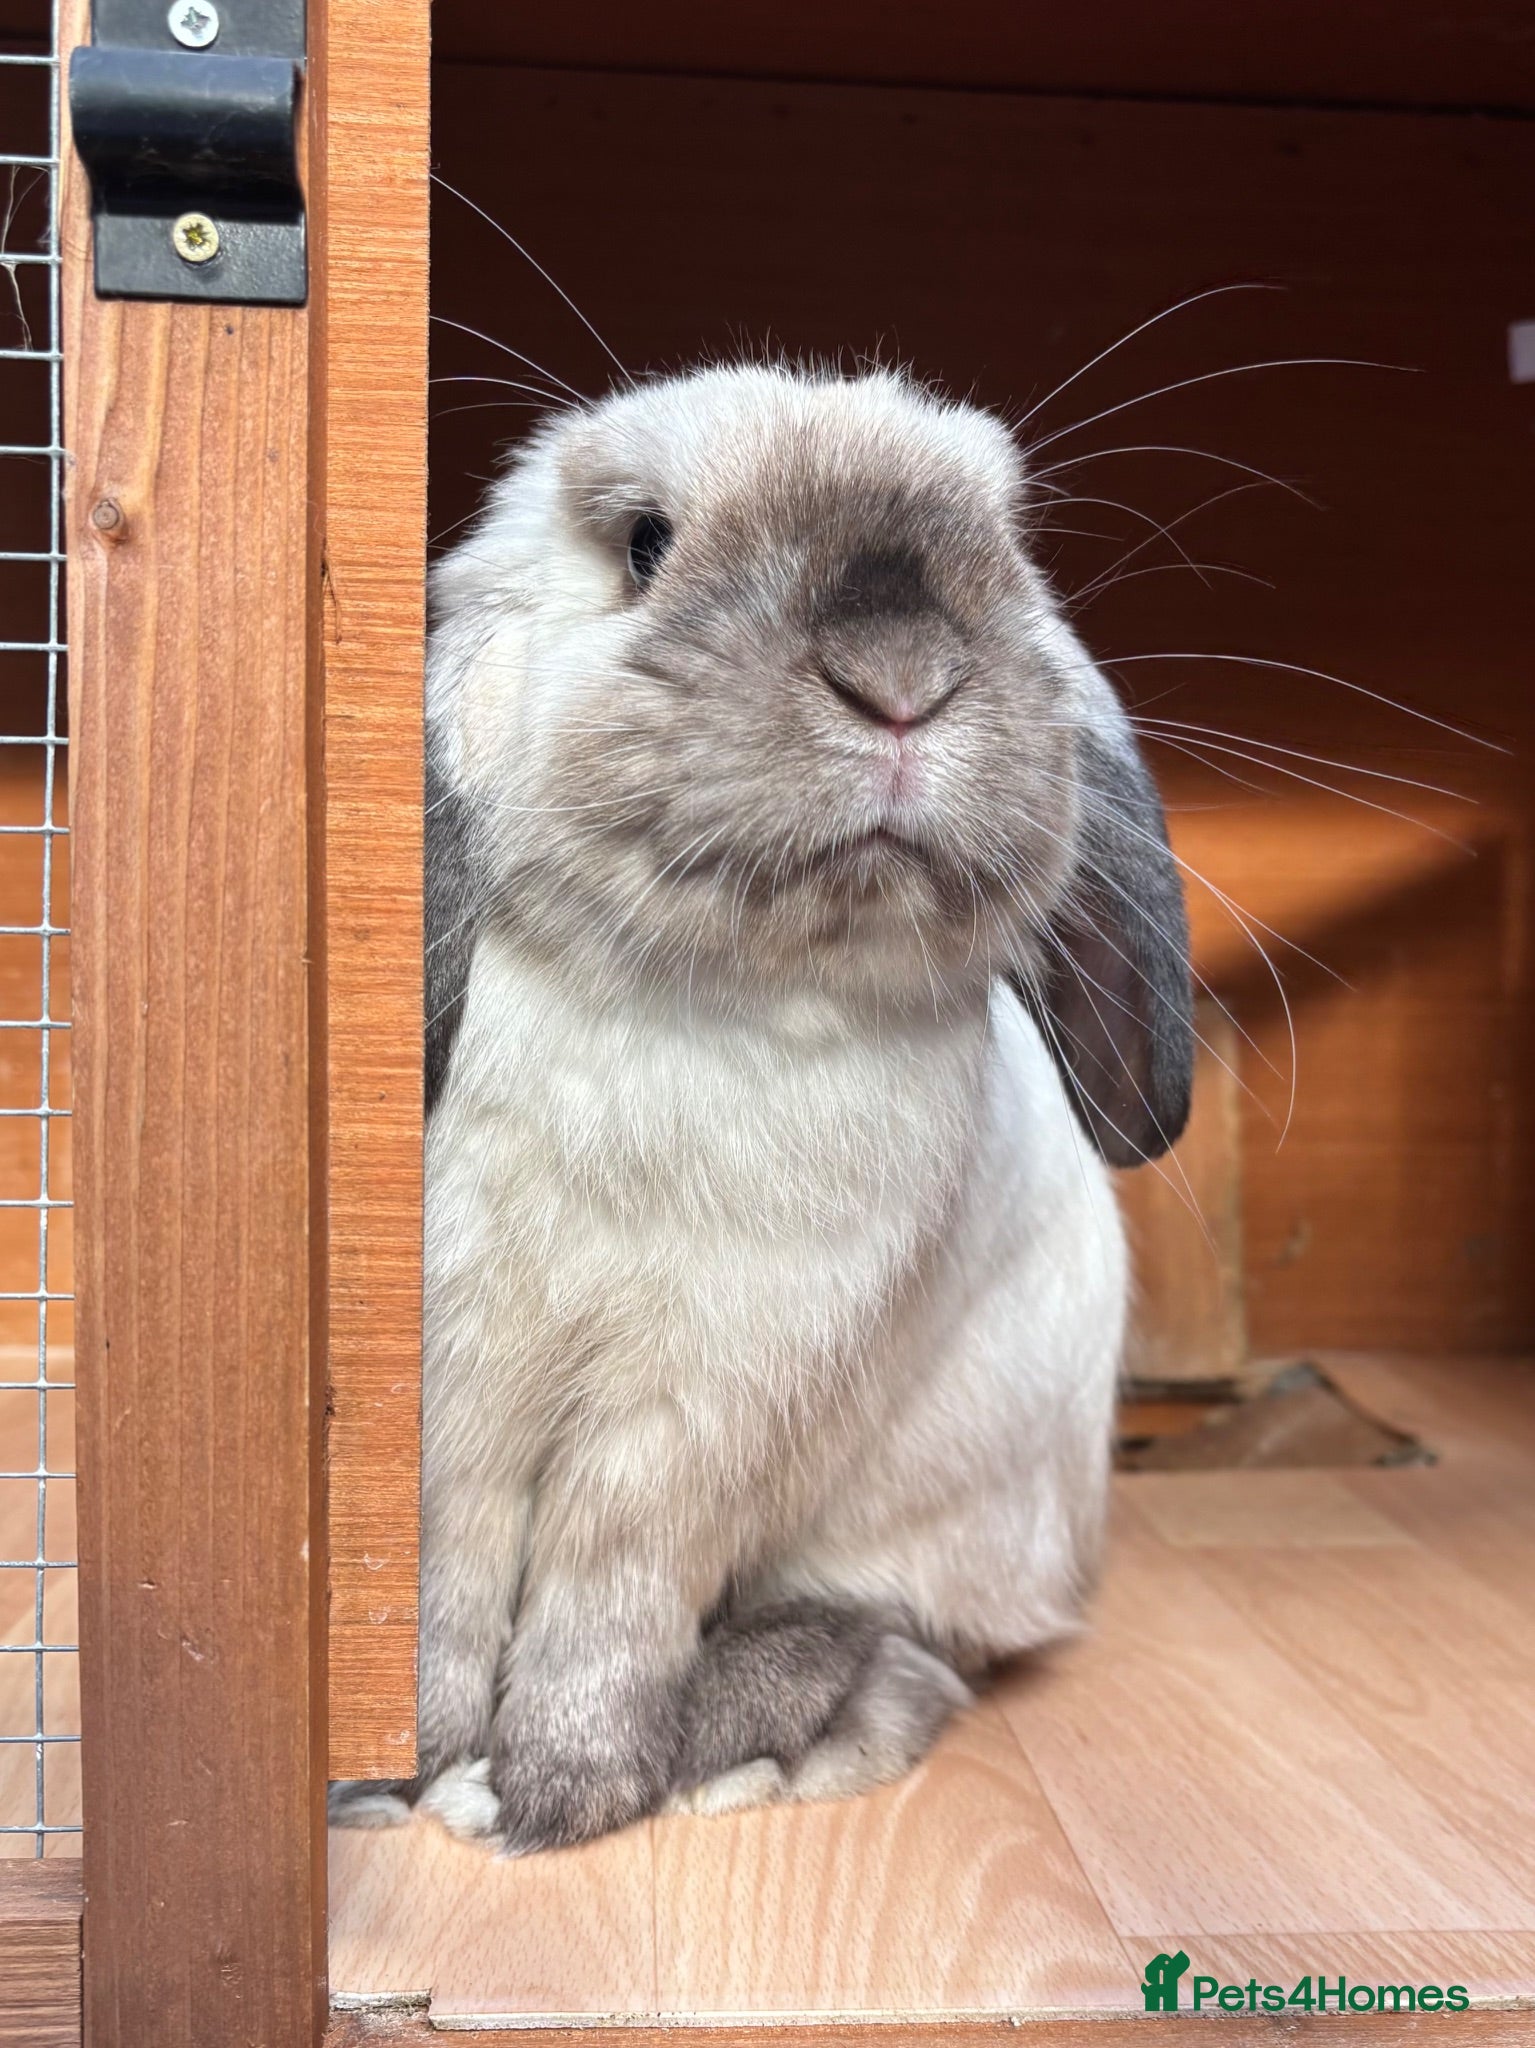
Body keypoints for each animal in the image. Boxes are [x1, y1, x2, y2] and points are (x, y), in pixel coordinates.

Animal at [329, 361, 1193, 1853]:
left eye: (999, 545)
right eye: (643, 543)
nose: (899, 680)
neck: (698, 1000)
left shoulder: (701, 1415)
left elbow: (609, 1593)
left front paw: (556, 1792)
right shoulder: (455, 1390)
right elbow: (442, 1578)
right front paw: (411, 1763)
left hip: (939, 1512)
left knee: (903, 1642)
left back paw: (744, 1737)